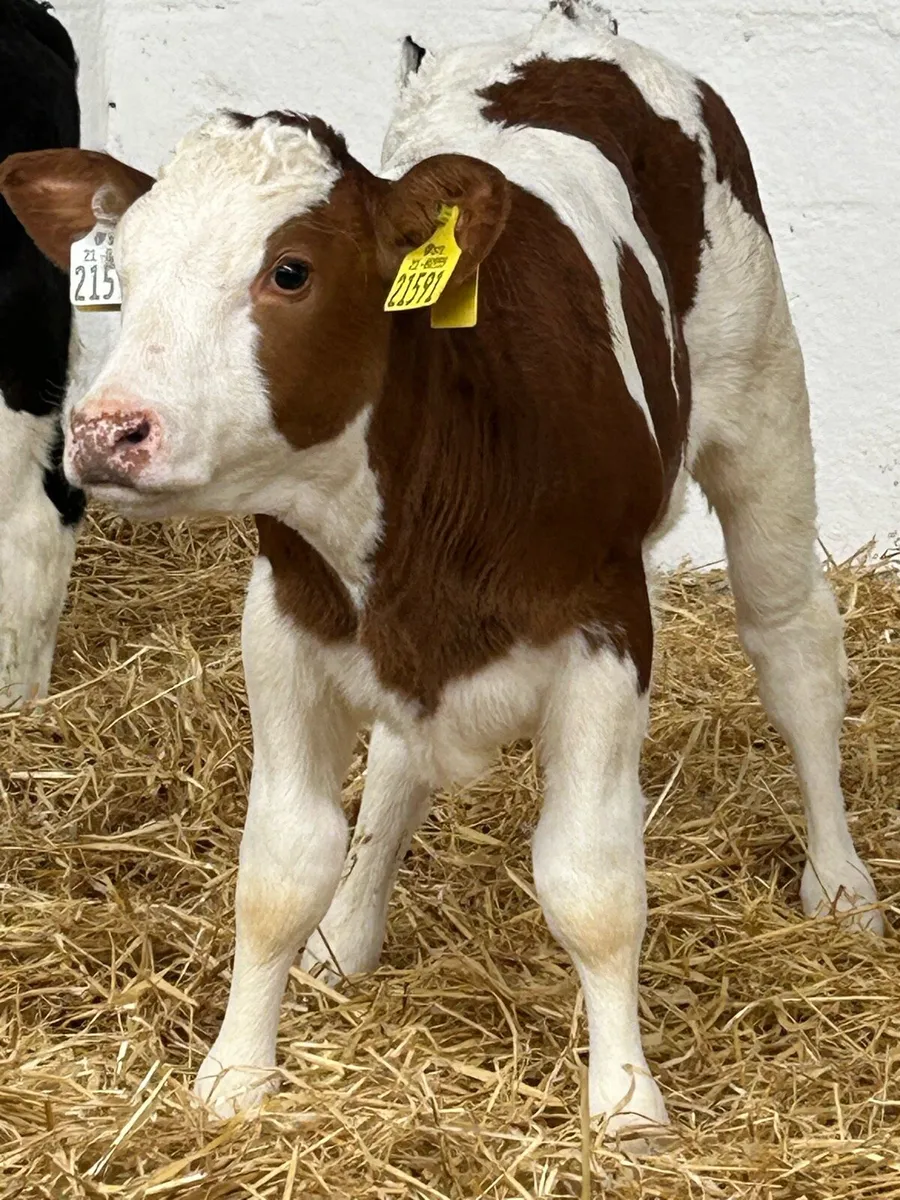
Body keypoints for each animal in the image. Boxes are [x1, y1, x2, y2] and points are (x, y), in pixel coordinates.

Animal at [0, 0, 882, 1140]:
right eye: (130, 271)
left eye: (291, 270)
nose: (108, 429)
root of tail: (571, 29)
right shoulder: (285, 622)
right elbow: (278, 867)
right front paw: (237, 1074)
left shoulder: (606, 628)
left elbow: (593, 886)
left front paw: (626, 1105)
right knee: (396, 764)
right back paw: (349, 931)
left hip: (764, 403)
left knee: (794, 652)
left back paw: (842, 885)